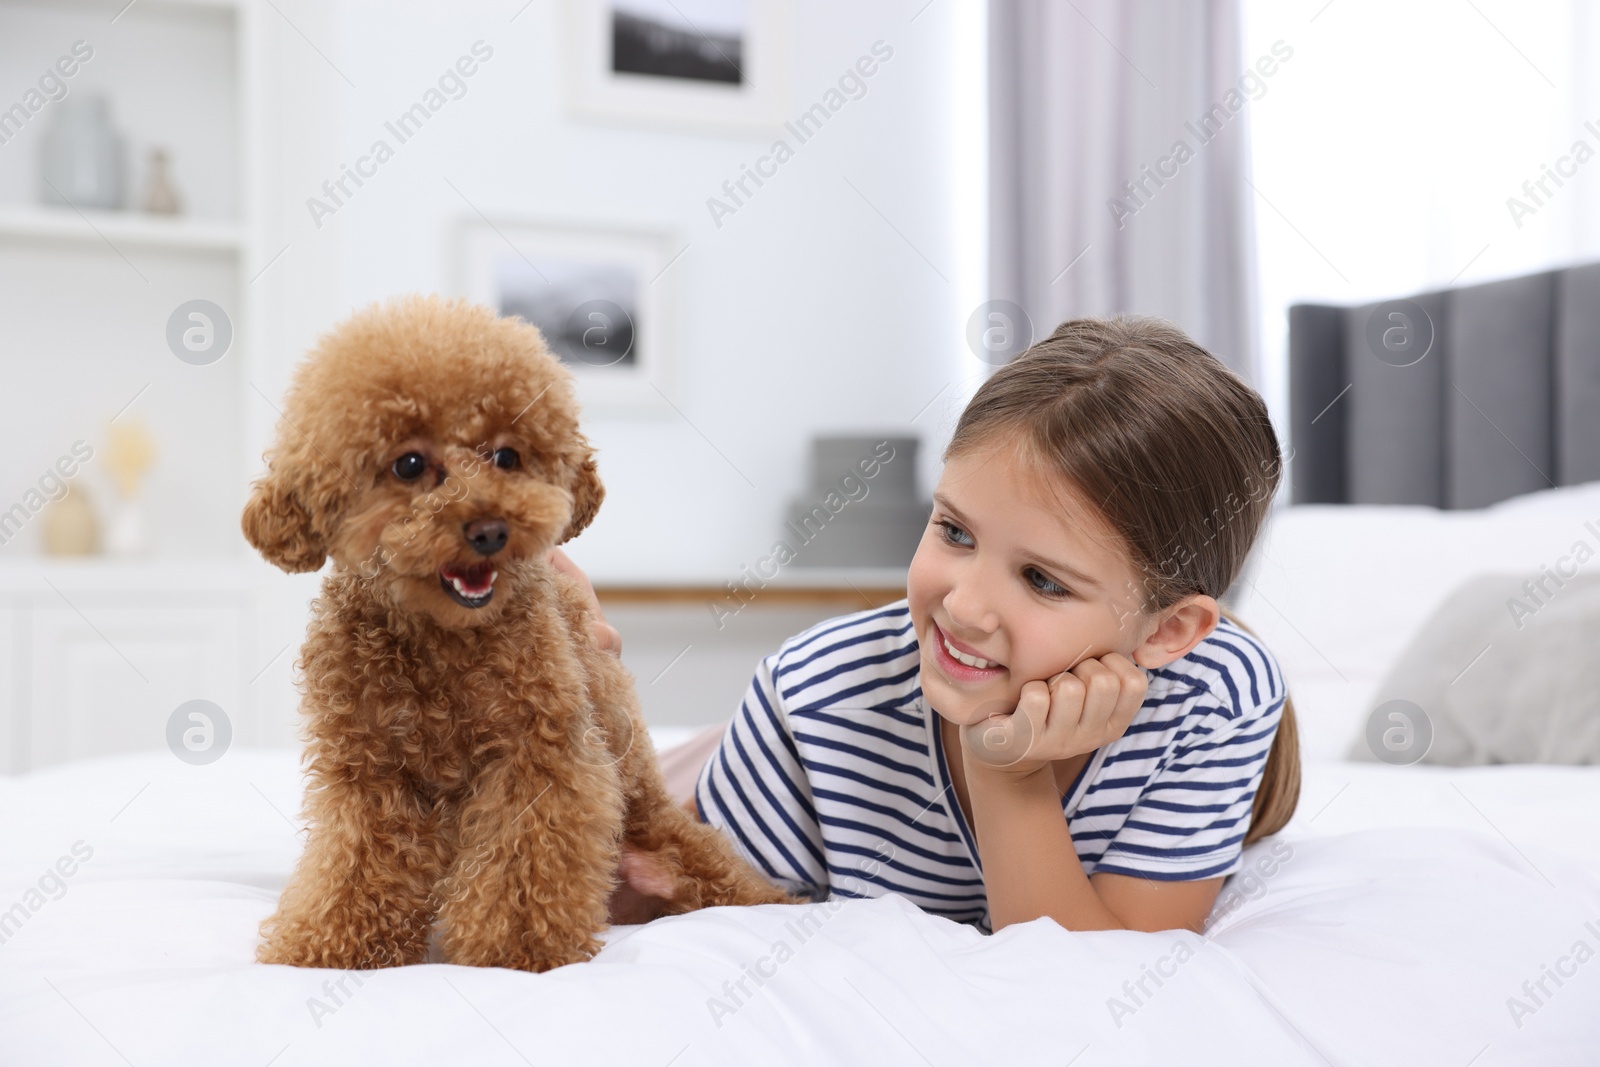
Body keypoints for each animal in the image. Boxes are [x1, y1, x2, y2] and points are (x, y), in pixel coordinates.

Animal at [244, 294, 793, 979]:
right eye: (409, 464)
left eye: (506, 457)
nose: (488, 529)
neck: (440, 641)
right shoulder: (369, 773)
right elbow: (357, 862)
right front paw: (332, 945)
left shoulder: (541, 755)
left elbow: (524, 861)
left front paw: (515, 949)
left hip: (658, 826)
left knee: (718, 872)